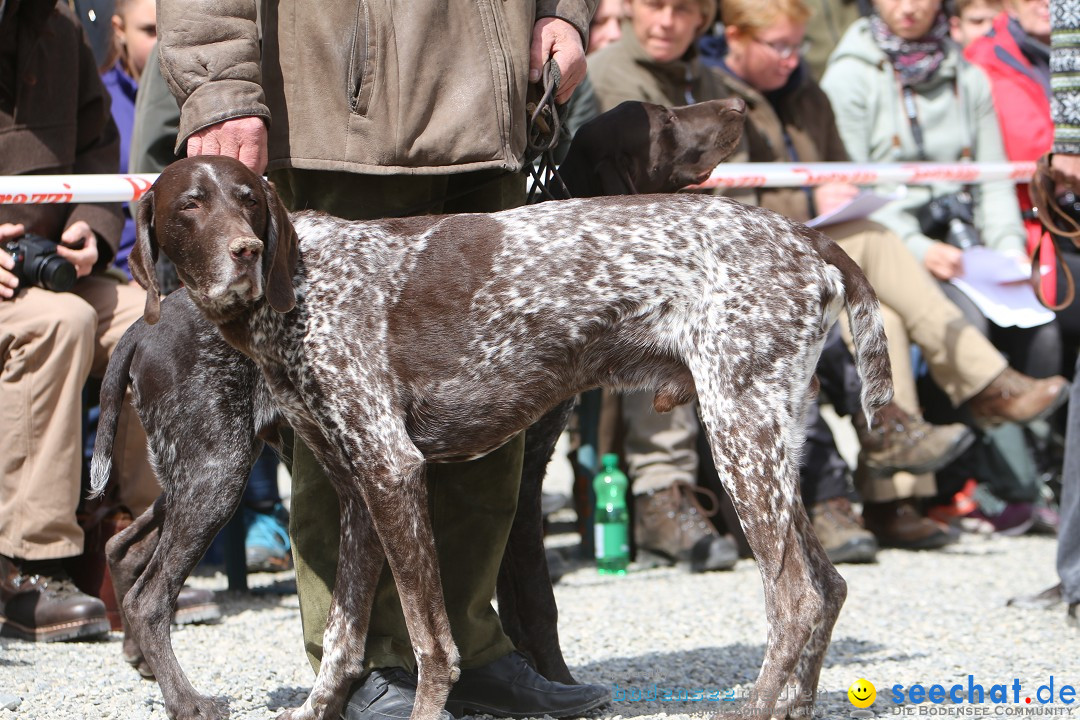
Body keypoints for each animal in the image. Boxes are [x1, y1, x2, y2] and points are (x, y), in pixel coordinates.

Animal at [116, 153, 894, 720]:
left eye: (249, 199)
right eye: (191, 204)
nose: (247, 252)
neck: (301, 290)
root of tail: (803, 236)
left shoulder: (392, 471)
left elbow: (431, 639)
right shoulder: (359, 492)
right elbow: (342, 638)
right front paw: (316, 710)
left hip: (742, 438)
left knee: (796, 599)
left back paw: (759, 707)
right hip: (766, 443)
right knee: (826, 587)